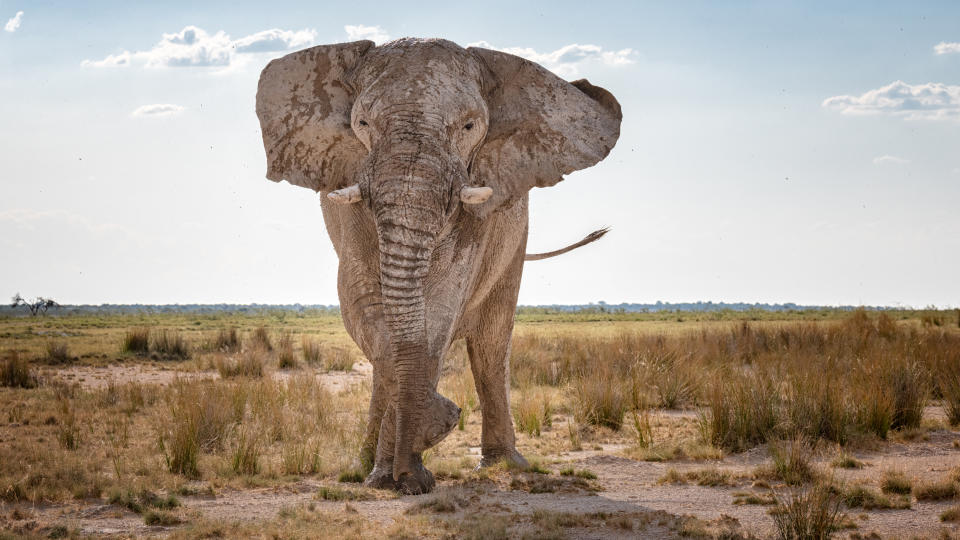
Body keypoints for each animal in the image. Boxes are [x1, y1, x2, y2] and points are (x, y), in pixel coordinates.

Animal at [255, 37, 620, 494]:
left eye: (469, 126)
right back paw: (364, 465)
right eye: (362, 123)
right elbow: (366, 307)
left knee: (491, 345)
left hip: (515, 240)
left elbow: (441, 304)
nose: (451, 412)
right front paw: (395, 471)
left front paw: (412, 469)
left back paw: (505, 464)